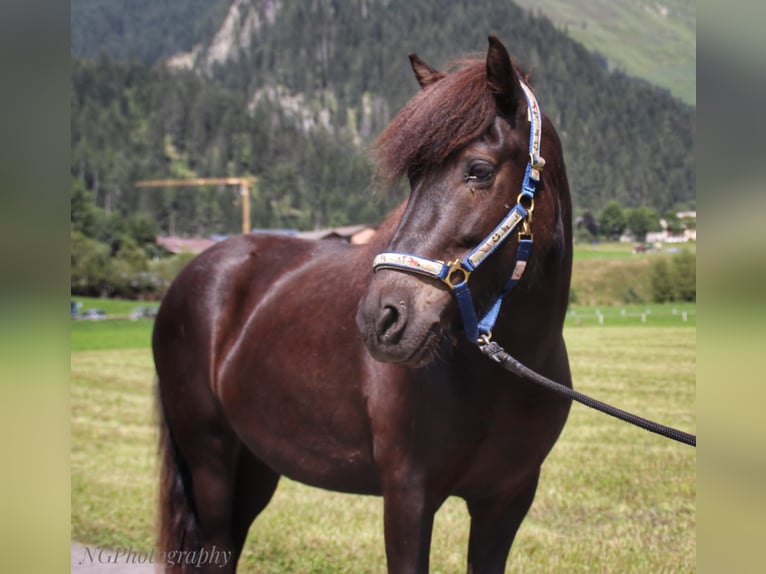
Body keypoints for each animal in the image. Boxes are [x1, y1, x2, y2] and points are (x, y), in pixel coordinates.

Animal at [156, 37, 572, 574]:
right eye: (413, 179)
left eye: (478, 170)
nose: (381, 318)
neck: (496, 381)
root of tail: (192, 275)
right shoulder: (408, 497)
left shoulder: (507, 500)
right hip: (210, 461)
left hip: (255, 465)